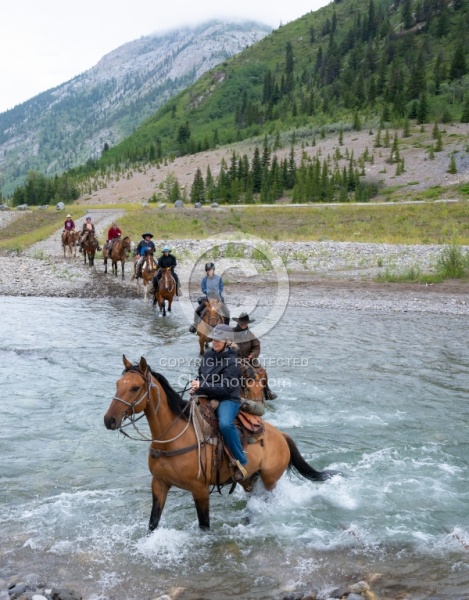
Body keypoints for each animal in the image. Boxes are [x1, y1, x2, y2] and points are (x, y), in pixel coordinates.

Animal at [103, 356, 336, 528]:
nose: (109, 420)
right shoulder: (159, 484)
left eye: (135, 388)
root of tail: (281, 436)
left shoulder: (200, 490)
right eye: (117, 384)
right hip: (249, 479)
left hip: (270, 480)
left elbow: (204, 525)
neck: (172, 440)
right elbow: (153, 522)